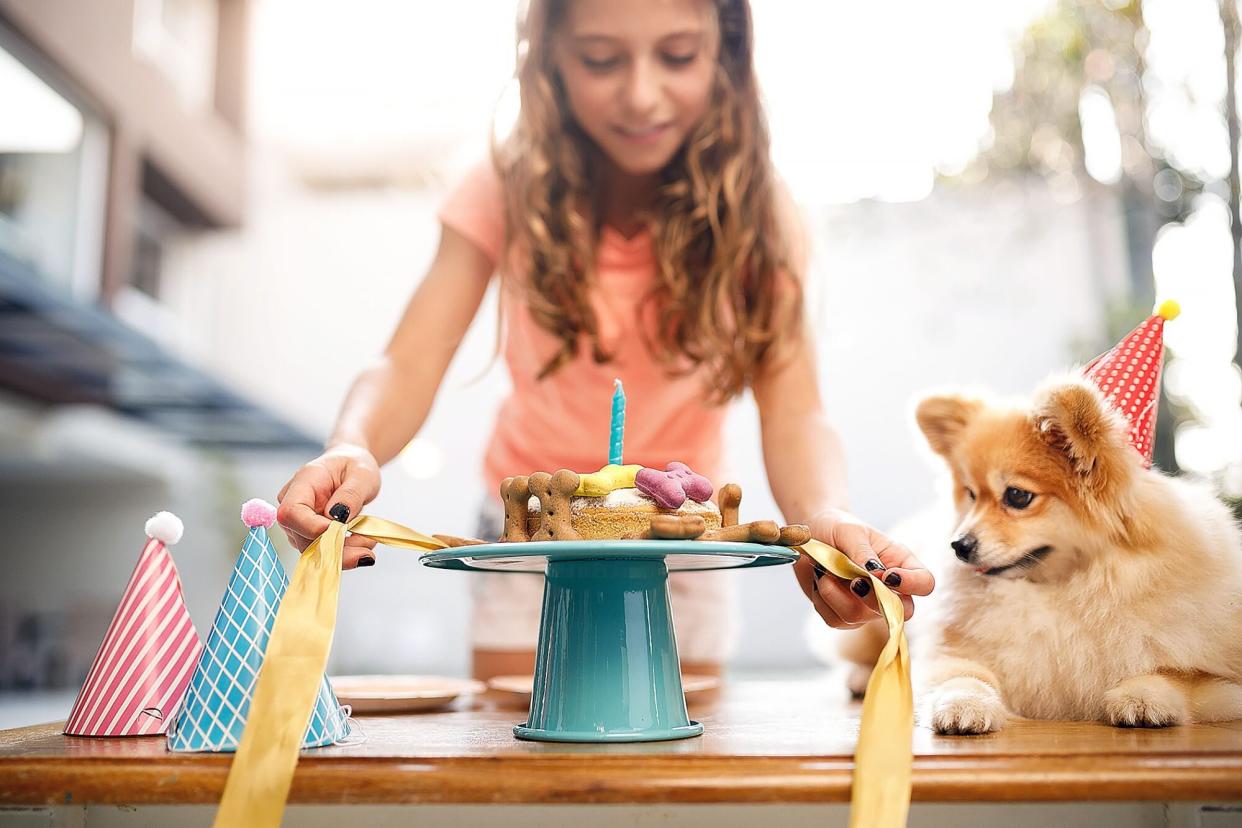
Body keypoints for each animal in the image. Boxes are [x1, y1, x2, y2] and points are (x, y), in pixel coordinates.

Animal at [904, 379, 1242, 734]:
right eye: (971, 495)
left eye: (1017, 496)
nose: (958, 545)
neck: (1065, 587)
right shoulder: (952, 655)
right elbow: (963, 676)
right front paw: (962, 704)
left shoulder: (1216, 672)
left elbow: (1176, 674)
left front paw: (1143, 698)